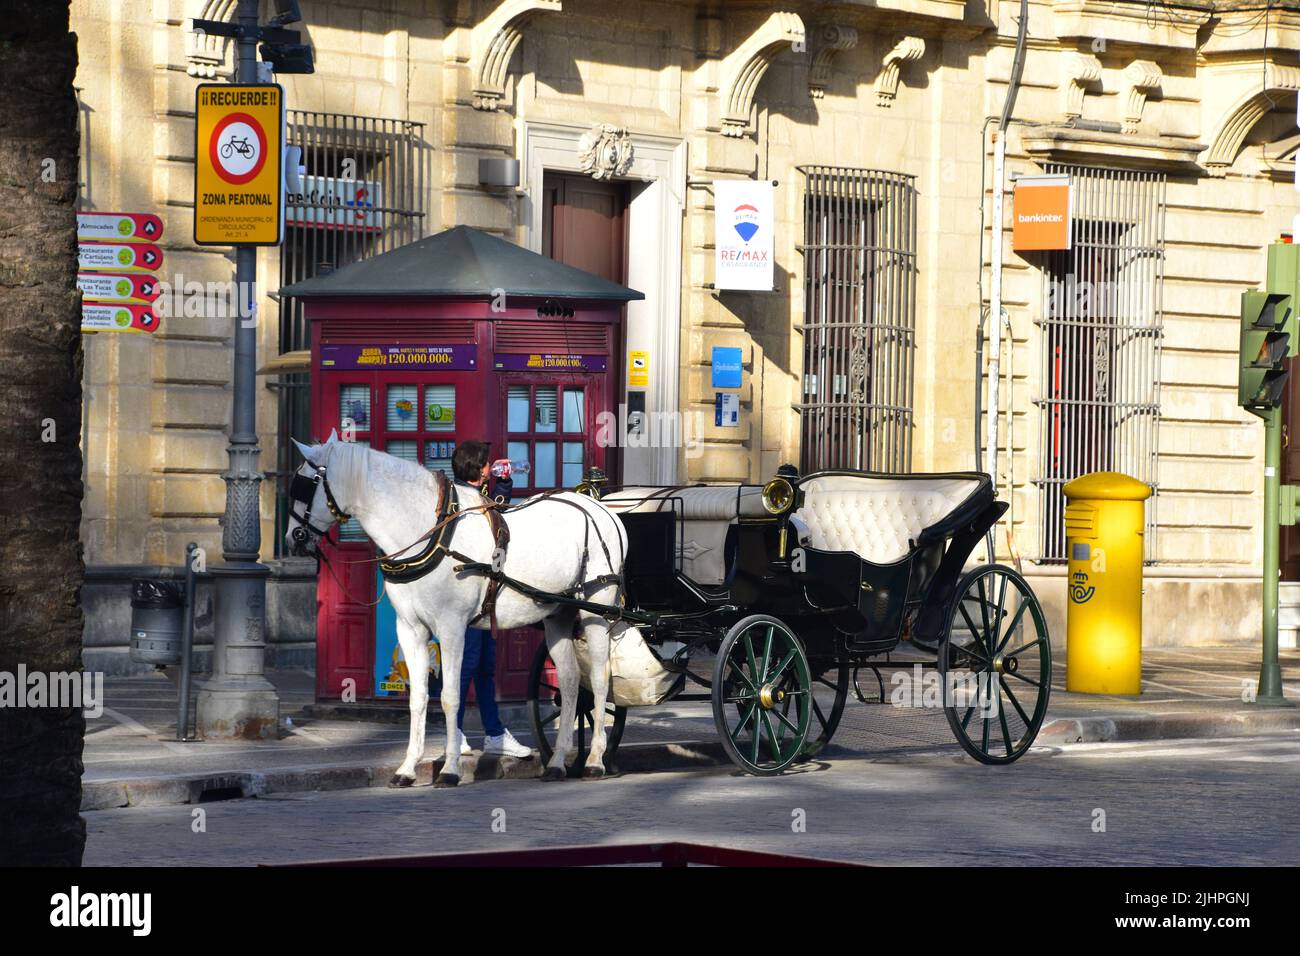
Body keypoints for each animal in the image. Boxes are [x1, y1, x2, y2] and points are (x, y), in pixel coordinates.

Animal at [286, 431, 629, 785]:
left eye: (305, 484)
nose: (293, 537)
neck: (431, 533)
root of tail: (601, 508)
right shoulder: (410, 629)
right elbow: (419, 698)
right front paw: (407, 768)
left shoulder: (451, 627)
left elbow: (451, 697)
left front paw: (450, 768)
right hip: (558, 614)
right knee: (572, 681)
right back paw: (558, 762)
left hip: (595, 611)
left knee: (599, 680)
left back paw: (595, 760)